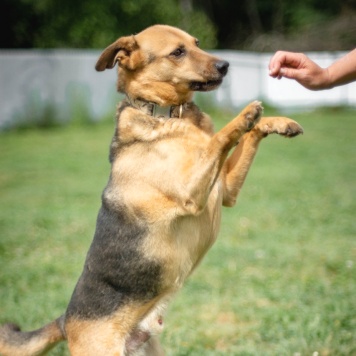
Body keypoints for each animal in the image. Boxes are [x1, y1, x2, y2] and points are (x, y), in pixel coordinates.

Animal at [0, 23, 304, 354]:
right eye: (178, 52)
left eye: (197, 43)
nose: (225, 65)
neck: (165, 113)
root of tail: (65, 321)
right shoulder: (192, 192)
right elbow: (221, 138)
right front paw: (246, 114)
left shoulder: (225, 191)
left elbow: (245, 137)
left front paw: (277, 121)